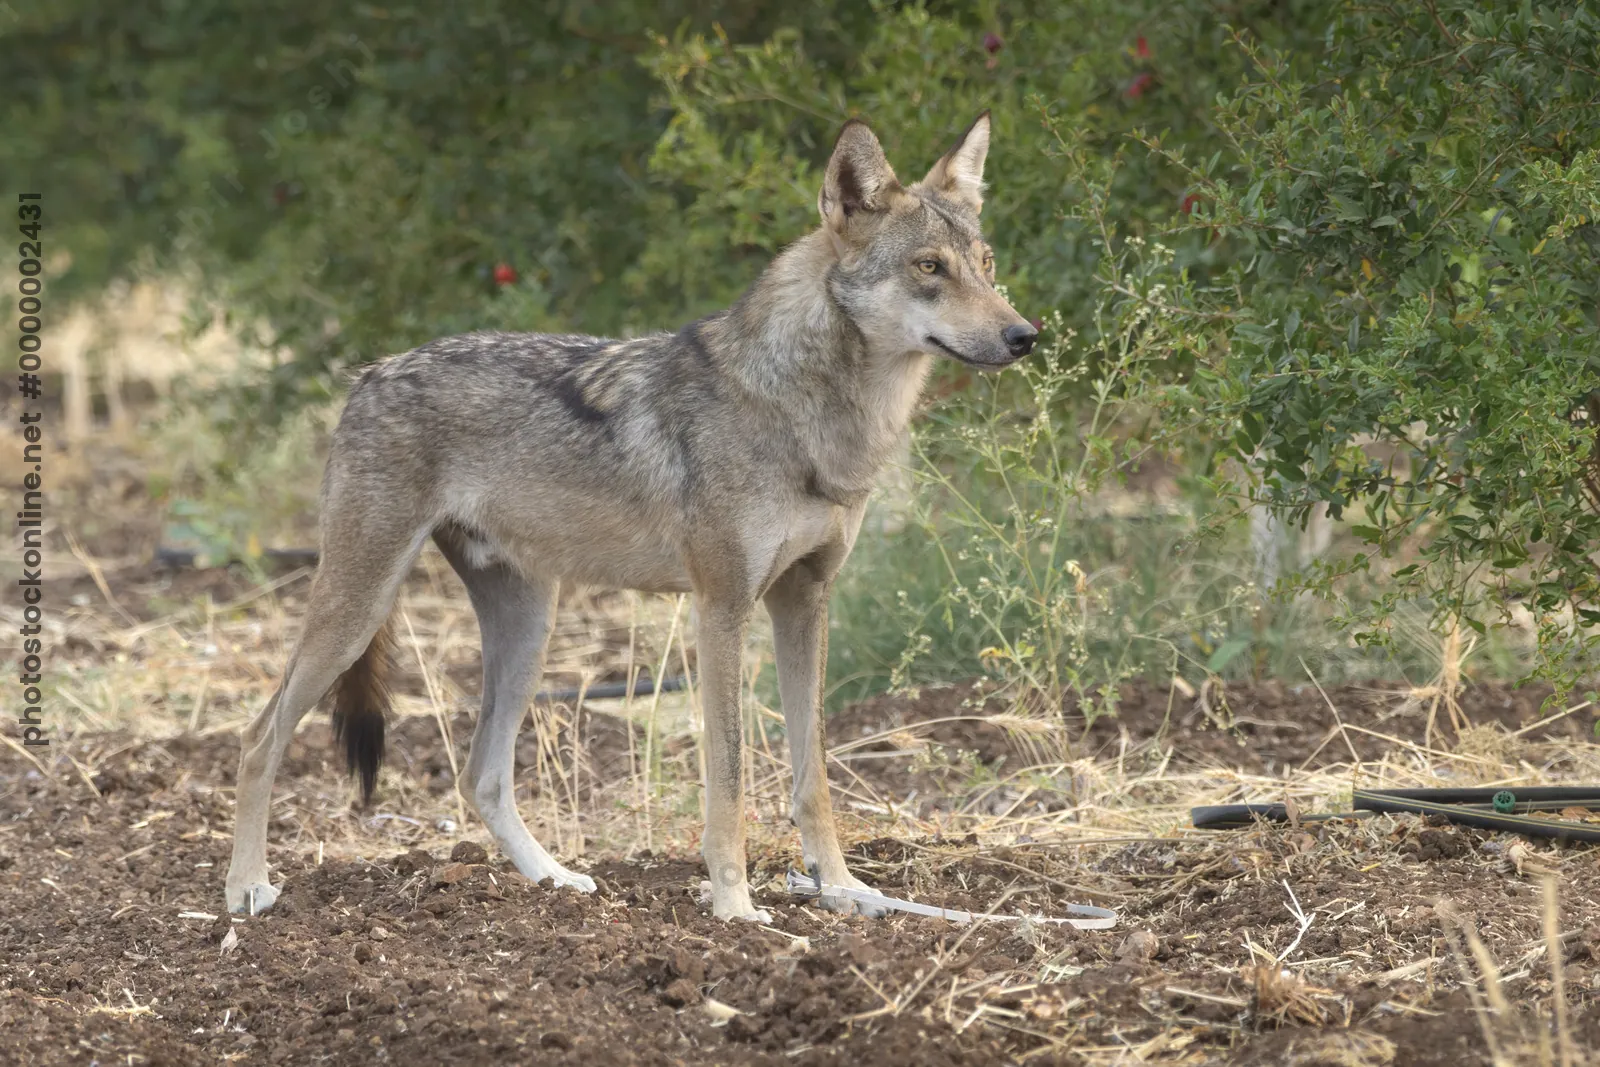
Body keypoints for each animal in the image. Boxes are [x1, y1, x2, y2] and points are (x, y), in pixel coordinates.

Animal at [225, 112, 1036, 921]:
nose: (1024, 335)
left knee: (480, 774)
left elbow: (814, 778)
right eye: (929, 267)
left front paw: (841, 889)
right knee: (260, 737)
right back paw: (246, 889)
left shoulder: (805, 599)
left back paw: (555, 880)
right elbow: (729, 780)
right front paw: (735, 907)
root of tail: (367, 374)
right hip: (360, 608)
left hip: (530, 626)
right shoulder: (723, 608)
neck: (810, 414)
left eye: (986, 263)